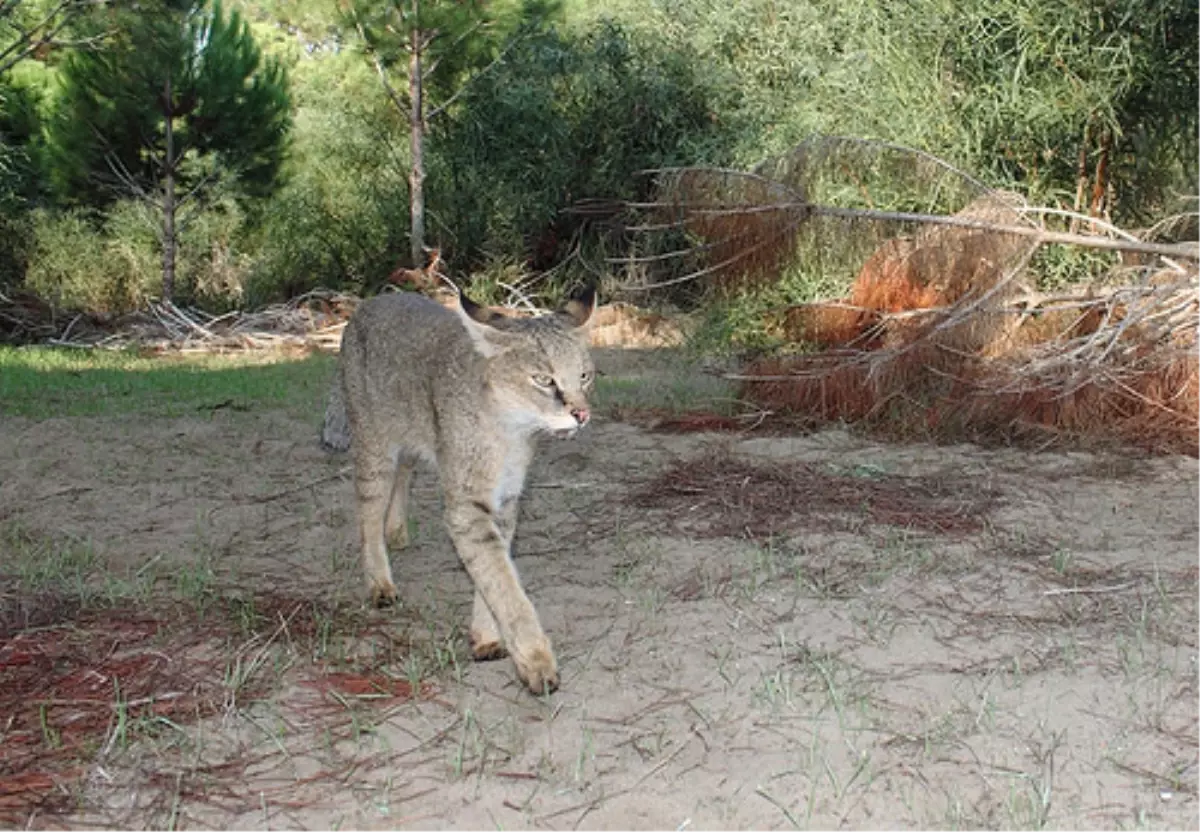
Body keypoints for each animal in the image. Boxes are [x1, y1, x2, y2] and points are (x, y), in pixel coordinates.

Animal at [321, 289, 597, 691]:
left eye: (584, 376)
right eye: (544, 380)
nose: (582, 415)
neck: (510, 433)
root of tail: (376, 298)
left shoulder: (505, 500)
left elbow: (494, 574)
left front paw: (486, 636)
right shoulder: (467, 508)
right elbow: (501, 581)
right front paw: (535, 660)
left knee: (405, 469)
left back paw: (396, 529)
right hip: (374, 447)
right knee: (369, 513)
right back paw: (379, 580)